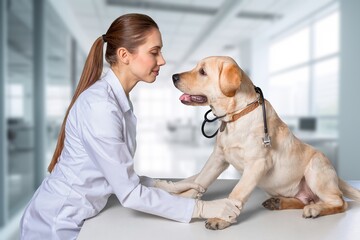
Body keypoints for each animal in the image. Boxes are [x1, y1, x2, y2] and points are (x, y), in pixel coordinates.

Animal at [172, 55, 360, 230]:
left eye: (202, 72)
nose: (174, 76)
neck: (237, 115)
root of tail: (336, 175)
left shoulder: (257, 164)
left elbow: (237, 192)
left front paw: (221, 218)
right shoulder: (218, 158)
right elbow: (200, 181)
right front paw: (180, 199)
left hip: (315, 169)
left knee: (340, 202)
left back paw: (315, 209)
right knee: (306, 200)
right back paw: (279, 202)